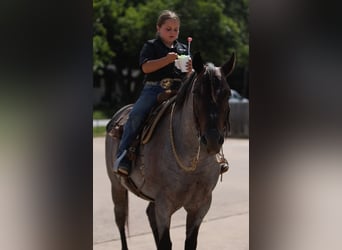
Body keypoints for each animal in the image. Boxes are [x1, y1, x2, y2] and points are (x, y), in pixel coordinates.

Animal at [105, 51, 236, 249]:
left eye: (227, 94)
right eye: (197, 92)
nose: (213, 140)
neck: (192, 163)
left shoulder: (201, 205)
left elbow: (189, 242)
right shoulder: (164, 205)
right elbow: (166, 242)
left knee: (149, 214)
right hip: (116, 186)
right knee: (120, 220)